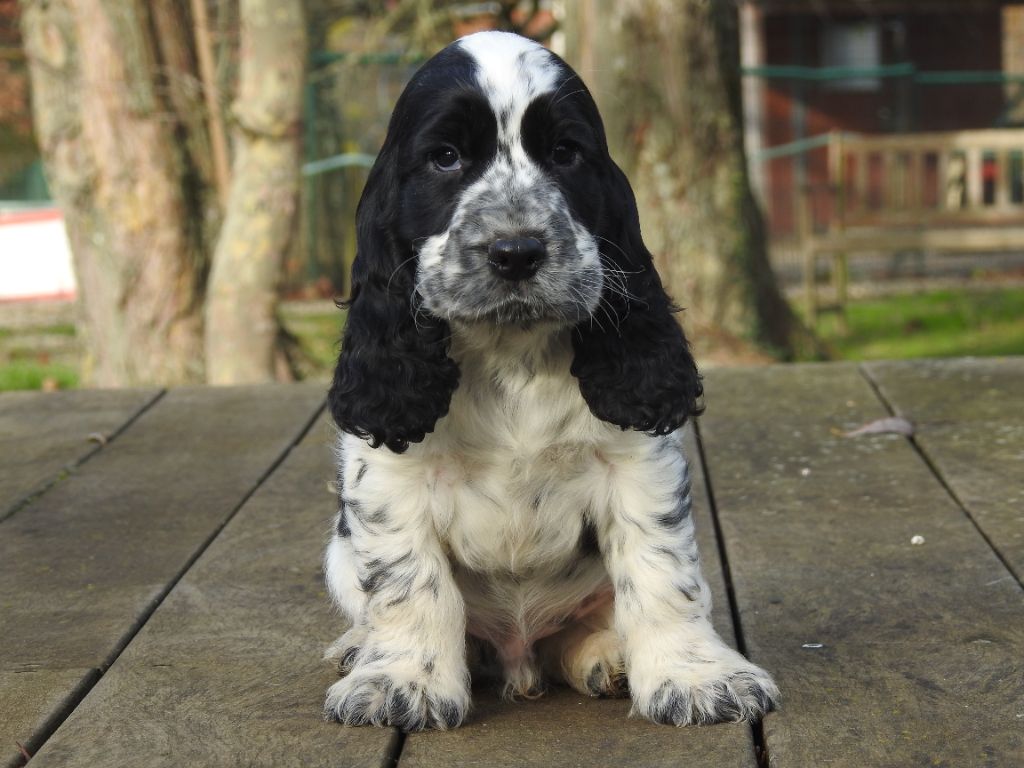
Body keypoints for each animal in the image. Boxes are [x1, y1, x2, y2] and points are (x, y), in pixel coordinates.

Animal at [323, 28, 778, 733]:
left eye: (566, 153)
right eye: (445, 157)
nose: (516, 253)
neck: (512, 353)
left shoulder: (637, 461)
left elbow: (660, 571)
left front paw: (697, 677)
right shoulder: (392, 474)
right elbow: (409, 583)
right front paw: (401, 682)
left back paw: (608, 658)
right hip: (338, 555)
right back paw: (357, 649)